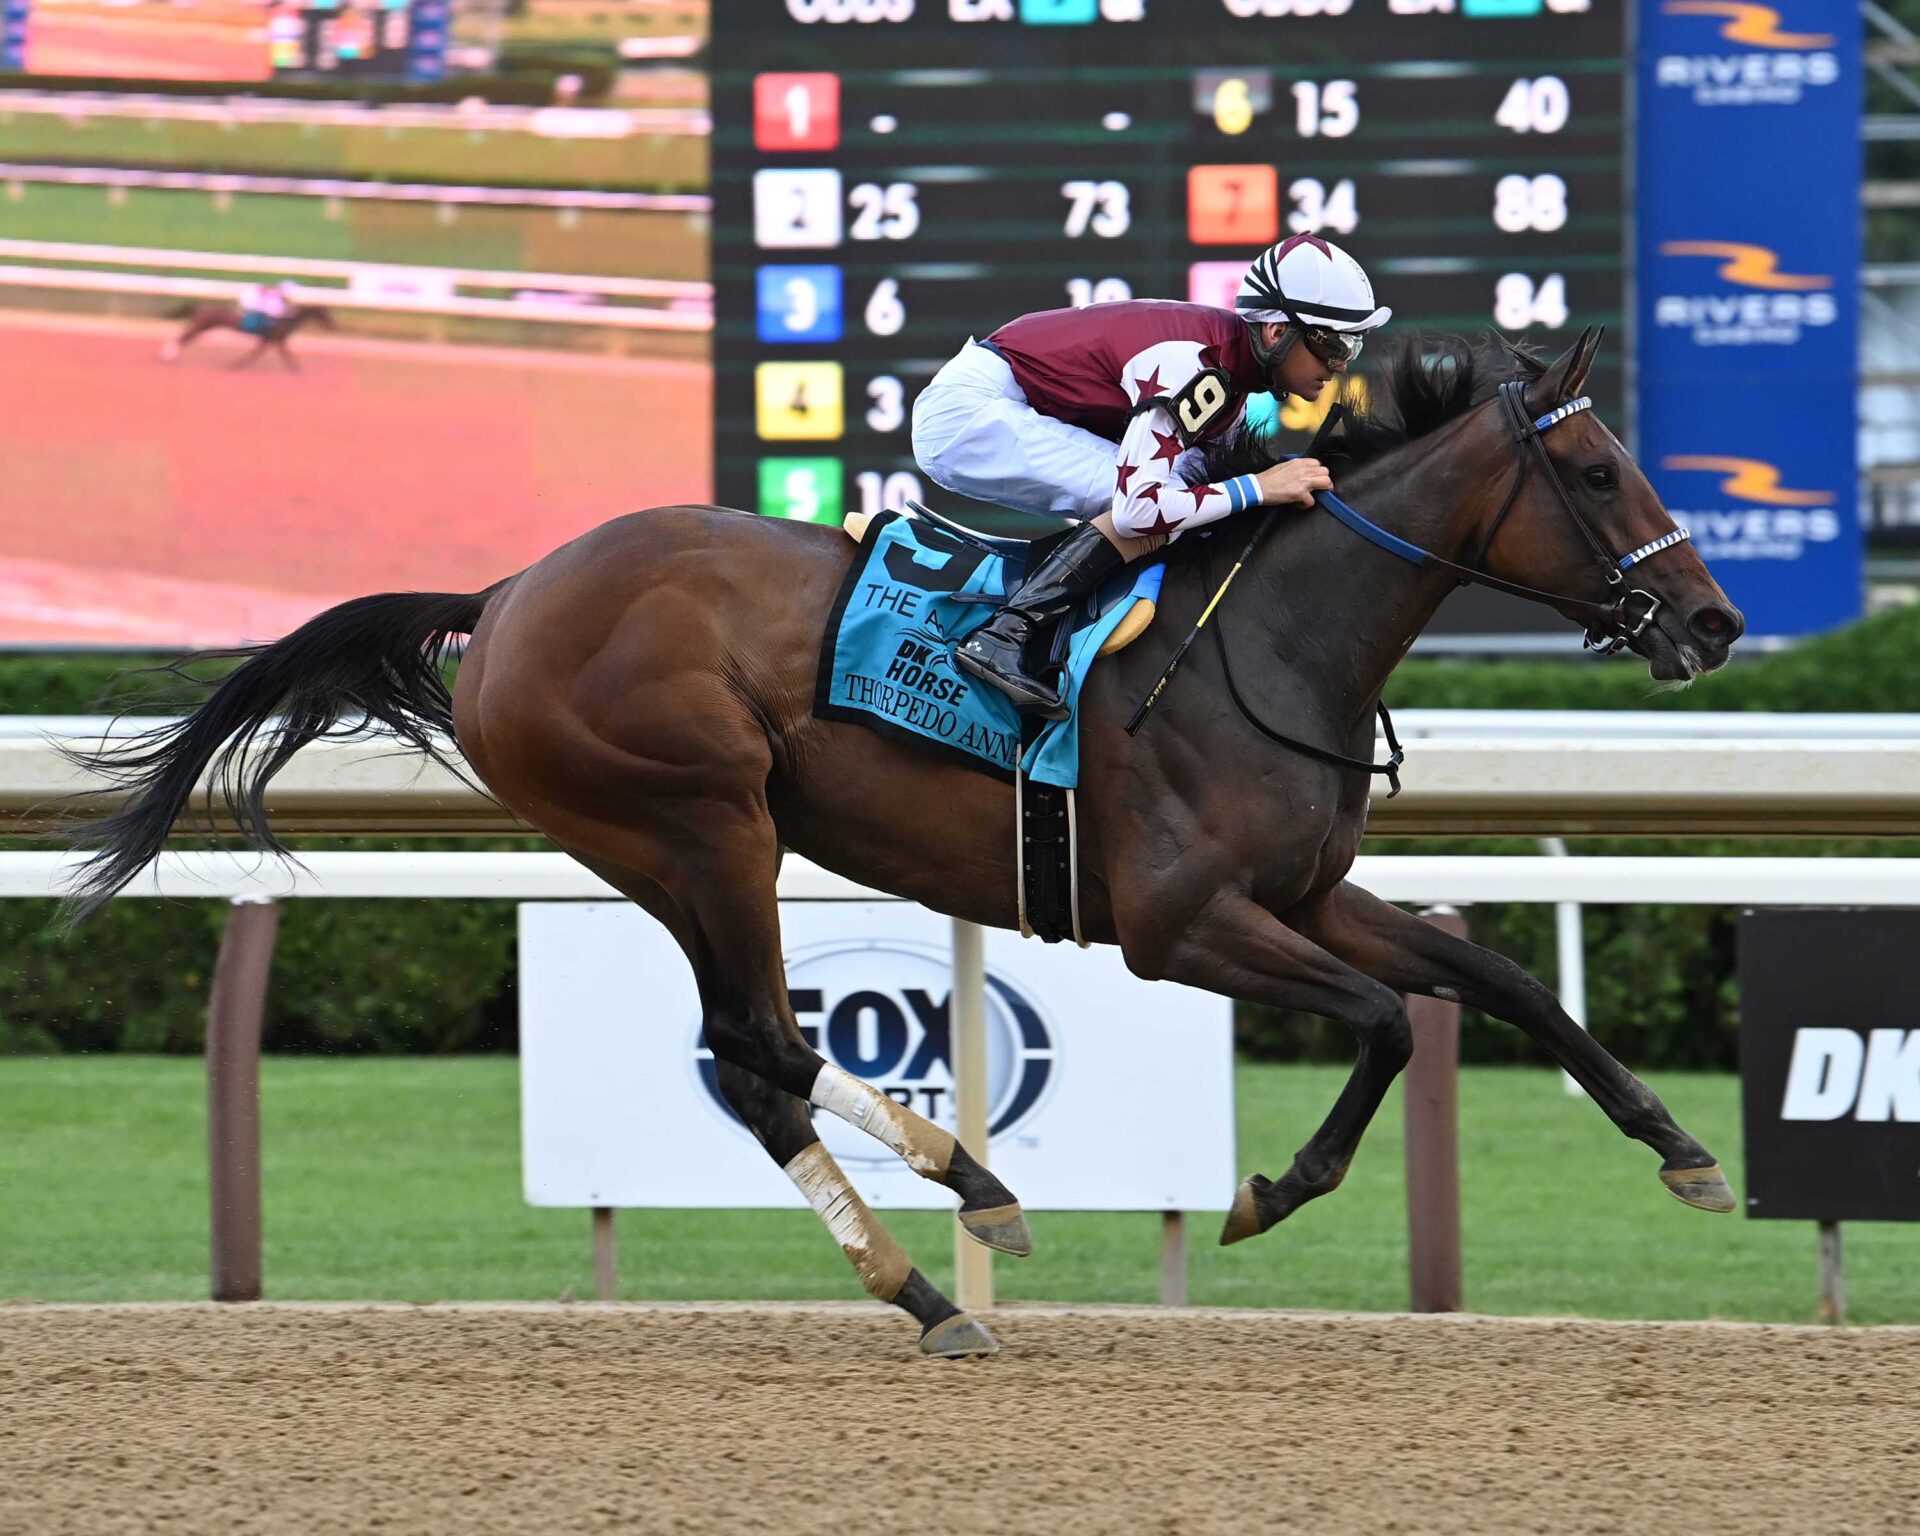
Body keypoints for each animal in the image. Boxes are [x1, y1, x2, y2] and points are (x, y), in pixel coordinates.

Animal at [62, 328, 1747, 1358]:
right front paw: (1269, 1191)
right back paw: (965, 1200)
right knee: (763, 1042)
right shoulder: (1178, 922)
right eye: (1597, 472)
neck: (1266, 636)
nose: (1715, 623)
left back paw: (936, 1277)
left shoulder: (1308, 892)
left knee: (754, 1061)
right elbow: (1390, 1022)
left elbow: (1495, 983)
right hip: (702, 819)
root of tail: (512, 589)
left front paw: (1683, 1149)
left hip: (660, 851)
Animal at [159, 301, 335, 371]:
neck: (285, 320)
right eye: (324, 314)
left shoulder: (270, 341)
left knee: (185, 337)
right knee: (184, 338)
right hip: (202, 326)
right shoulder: (275, 340)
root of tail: (200, 306)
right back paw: (166, 356)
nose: (333, 325)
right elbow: (256, 355)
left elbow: (258, 354)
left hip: (202, 326)